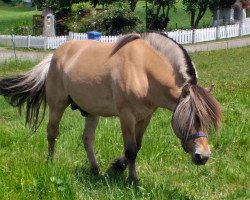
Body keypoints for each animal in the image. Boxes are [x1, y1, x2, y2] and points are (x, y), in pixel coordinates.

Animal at [0, 32, 221, 184]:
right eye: (190, 120)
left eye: (207, 121)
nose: (203, 156)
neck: (144, 71)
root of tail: (54, 56)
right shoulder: (126, 116)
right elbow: (131, 149)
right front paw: (132, 180)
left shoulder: (145, 117)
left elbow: (137, 146)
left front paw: (116, 167)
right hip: (57, 106)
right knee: (52, 133)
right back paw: (51, 161)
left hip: (91, 112)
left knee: (87, 139)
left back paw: (95, 169)